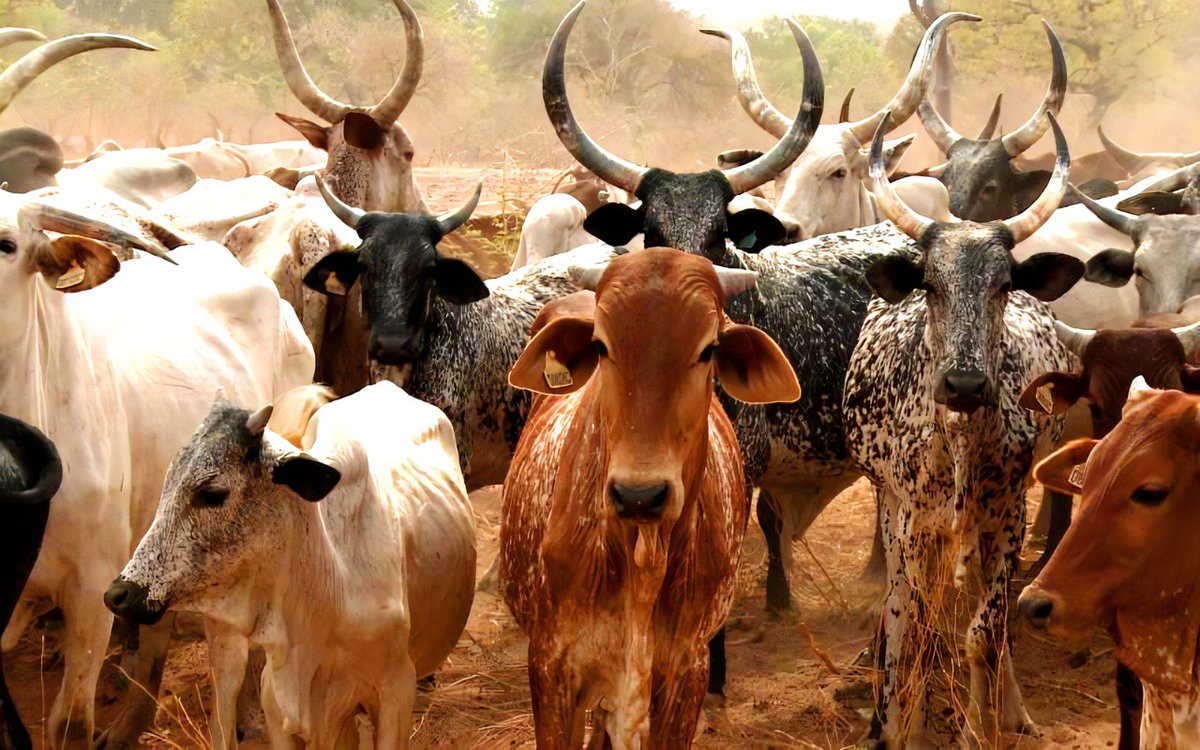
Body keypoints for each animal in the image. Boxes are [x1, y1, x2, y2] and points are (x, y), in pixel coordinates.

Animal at [843, 112, 1082, 746]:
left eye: (1003, 285)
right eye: (931, 285)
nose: (966, 384)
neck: (959, 437)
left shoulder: (1008, 516)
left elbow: (984, 631)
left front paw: (982, 725)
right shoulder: (912, 521)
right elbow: (915, 628)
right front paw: (903, 729)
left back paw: (1012, 708)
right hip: (892, 508)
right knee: (903, 609)